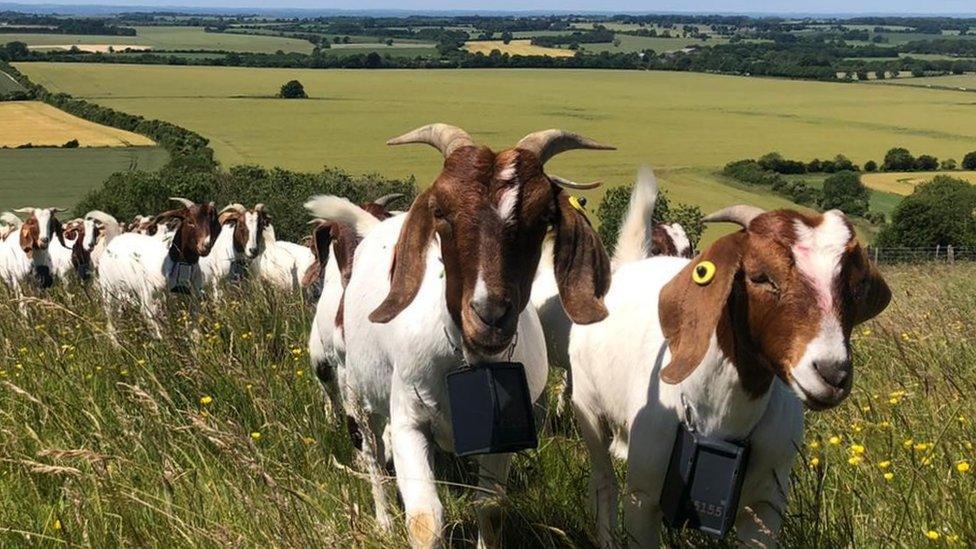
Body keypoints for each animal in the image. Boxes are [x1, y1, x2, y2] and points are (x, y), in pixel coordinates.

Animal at [564, 204, 892, 544]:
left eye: (856, 288)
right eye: (760, 276)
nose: (833, 373)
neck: (721, 420)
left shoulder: (766, 506)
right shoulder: (642, 499)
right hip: (589, 408)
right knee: (603, 480)